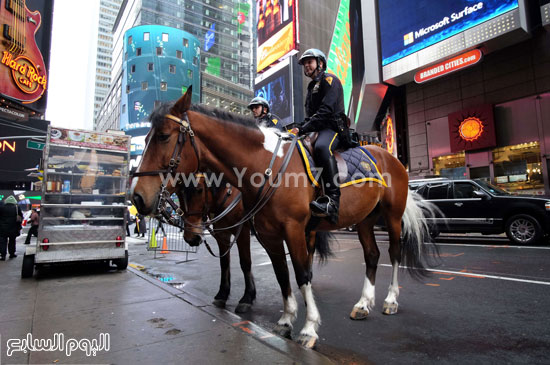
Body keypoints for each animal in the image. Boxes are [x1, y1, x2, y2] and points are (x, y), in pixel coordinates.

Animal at [181, 173, 258, 312]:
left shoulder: (242, 232)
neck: (227, 196)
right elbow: (224, 263)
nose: (190, 238)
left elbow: (245, 263)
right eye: (182, 192)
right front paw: (222, 294)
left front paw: (247, 297)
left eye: (199, 190)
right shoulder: (222, 234)